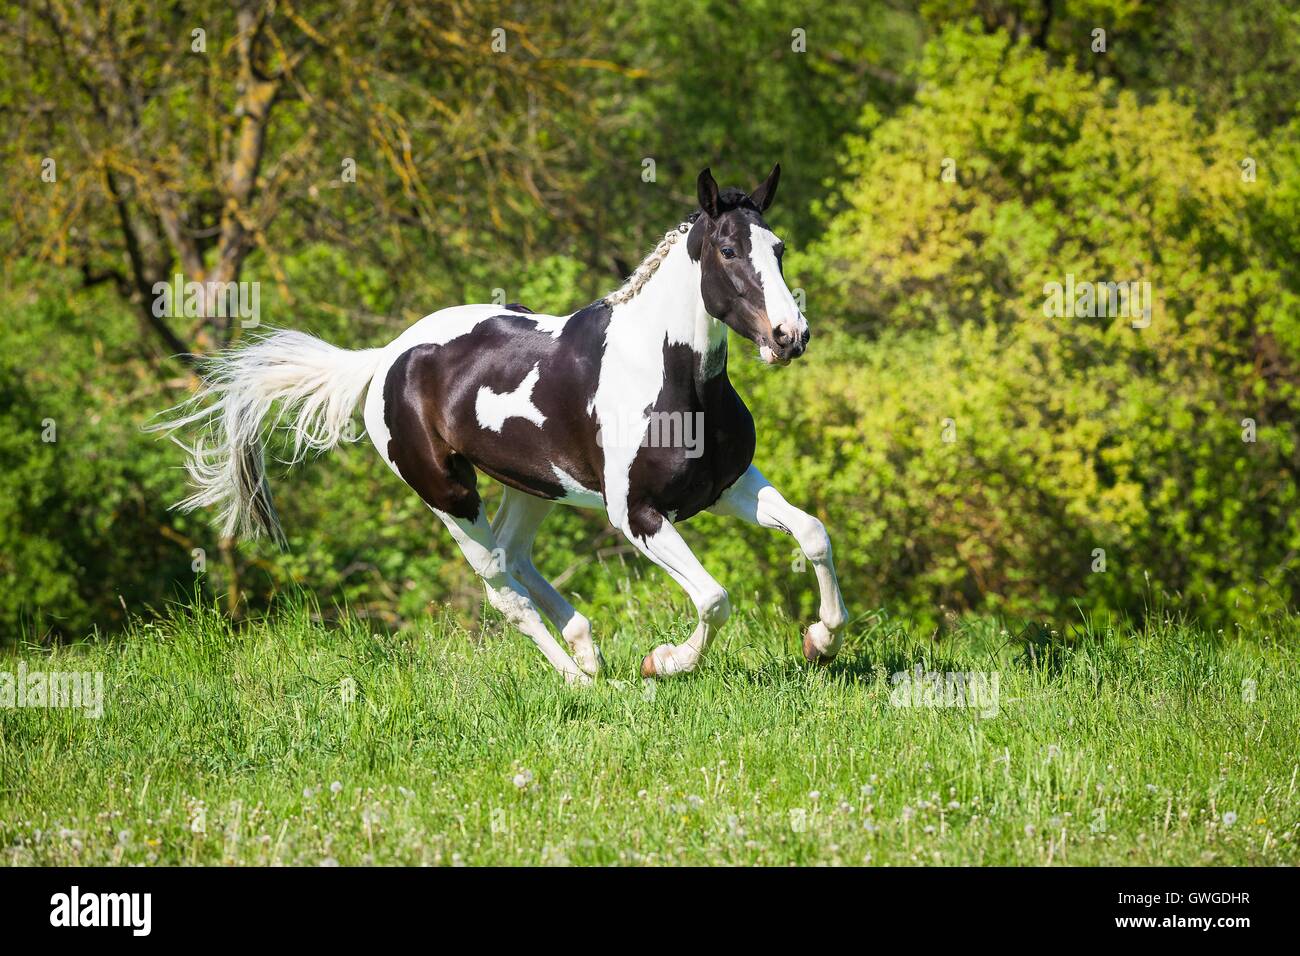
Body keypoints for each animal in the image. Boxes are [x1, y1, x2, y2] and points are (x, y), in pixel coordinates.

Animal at [152, 165, 848, 684]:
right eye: (728, 250)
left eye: (778, 249)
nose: (789, 337)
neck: (669, 376)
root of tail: (385, 359)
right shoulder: (636, 515)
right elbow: (713, 598)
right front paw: (665, 662)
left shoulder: (727, 487)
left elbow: (814, 534)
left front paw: (820, 641)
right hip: (451, 497)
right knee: (500, 586)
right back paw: (576, 680)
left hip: (534, 487)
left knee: (516, 557)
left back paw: (588, 654)